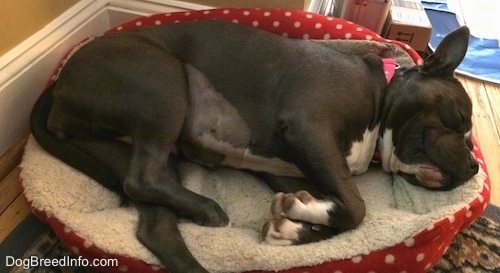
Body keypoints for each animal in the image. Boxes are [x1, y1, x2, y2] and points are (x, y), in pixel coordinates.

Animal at [30, 21, 476, 272]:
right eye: (462, 118)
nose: (473, 166)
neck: (380, 93)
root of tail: (60, 88)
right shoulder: (308, 131)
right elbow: (356, 207)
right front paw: (300, 215)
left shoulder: (291, 168)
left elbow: (333, 217)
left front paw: (291, 229)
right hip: (162, 82)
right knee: (144, 178)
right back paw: (208, 208)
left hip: (117, 147)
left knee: (152, 218)